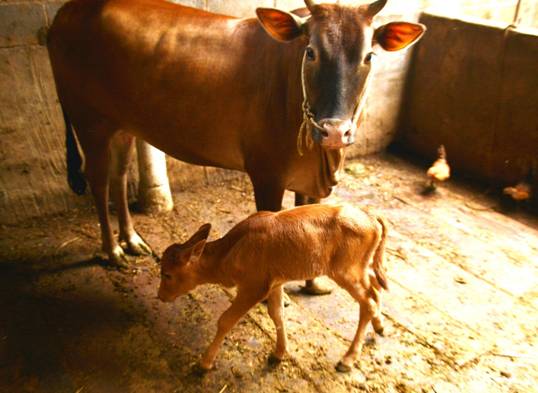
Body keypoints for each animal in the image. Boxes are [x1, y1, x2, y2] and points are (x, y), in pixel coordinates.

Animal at [46, 0, 422, 292]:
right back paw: (112, 250)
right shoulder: (267, 173)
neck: (323, 159)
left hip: (124, 123)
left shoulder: (308, 178)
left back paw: (132, 240)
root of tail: (67, 11)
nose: (333, 131)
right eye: (311, 52)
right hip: (88, 118)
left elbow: (312, 217)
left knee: (120, 174)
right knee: (97, 179)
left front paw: (314, 284)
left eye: (369, 56)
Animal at [157, 204, 388, 372]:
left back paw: (348, 359)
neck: (230, 253)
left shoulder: (254, 287)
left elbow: (226, 320)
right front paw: (279, 353)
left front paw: (205, 363)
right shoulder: (275, 282)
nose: (160, 296)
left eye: (167, 274)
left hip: (346, 272)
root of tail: (369, 215)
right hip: (359, 268)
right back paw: (379, 326)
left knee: (367, 302)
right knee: (375, 289)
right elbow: (277, 314)